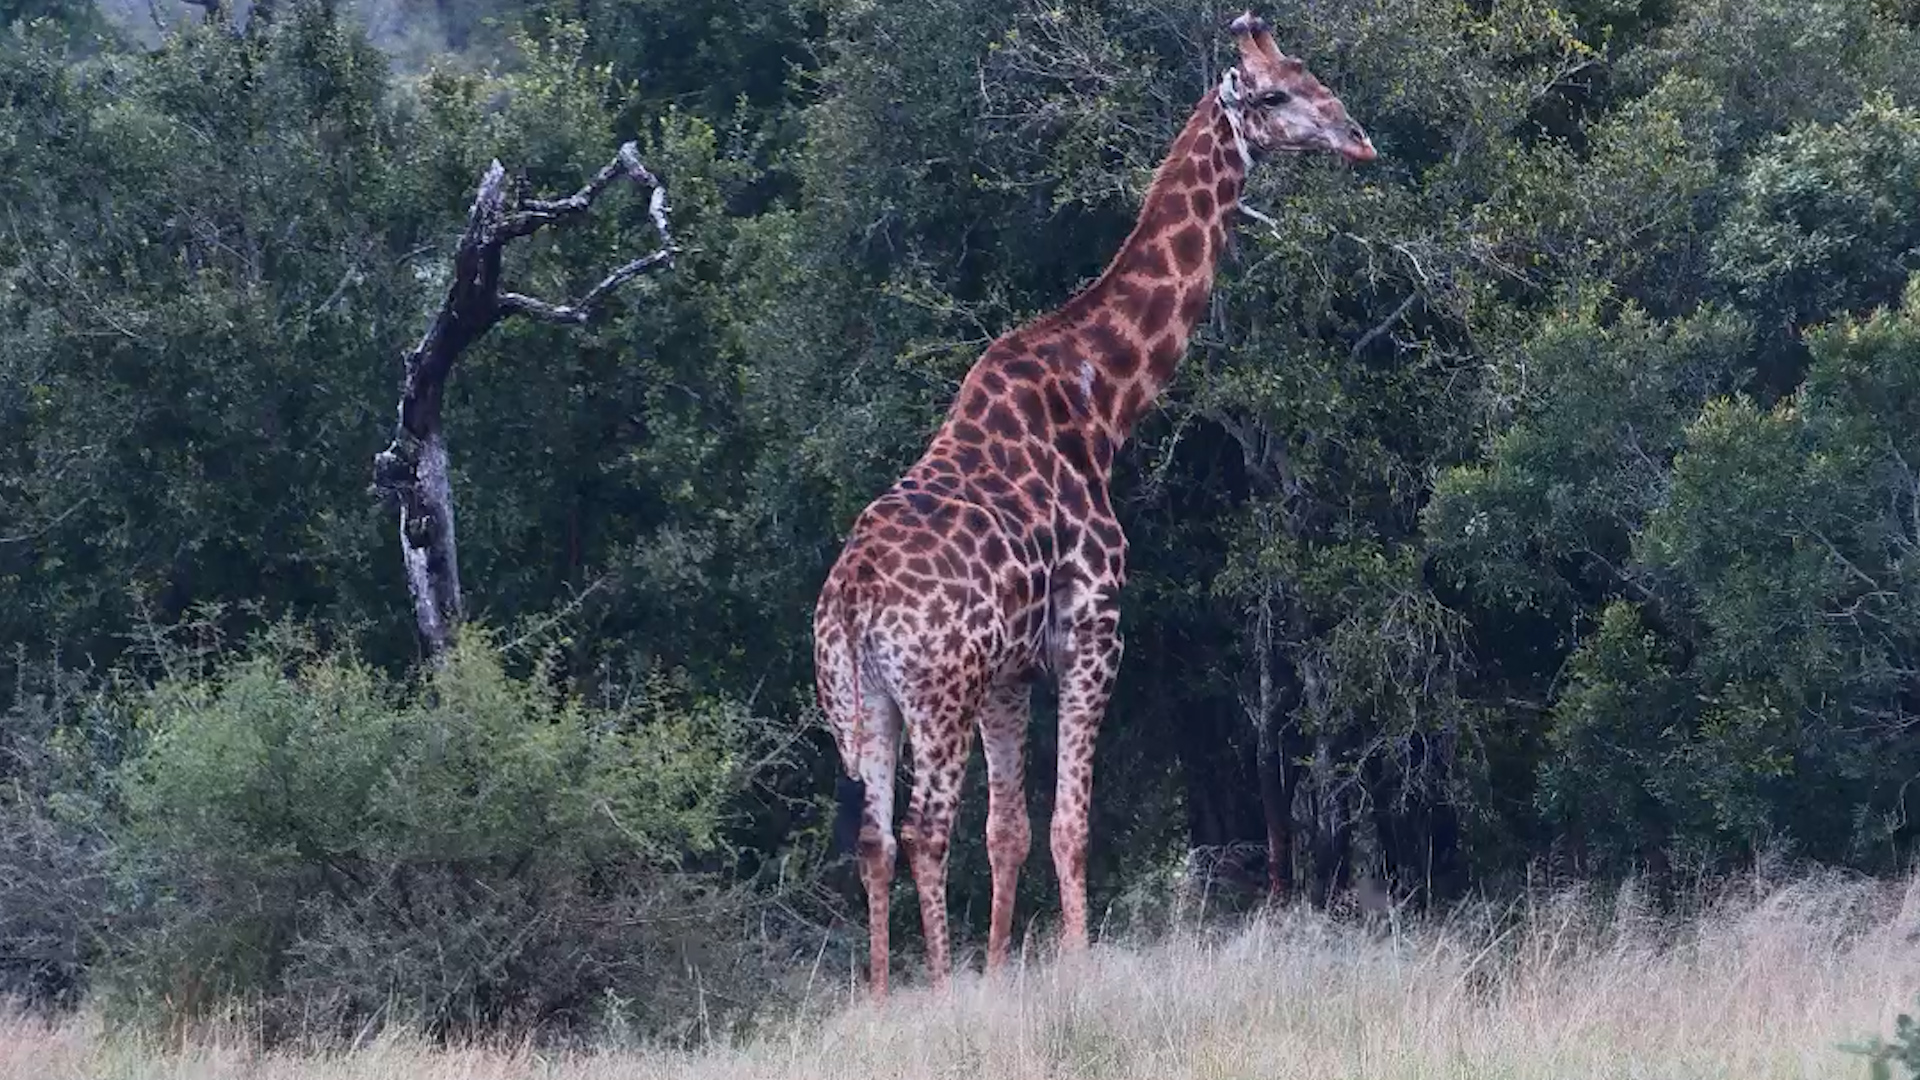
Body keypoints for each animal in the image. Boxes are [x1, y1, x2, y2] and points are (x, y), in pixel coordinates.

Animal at [814, 11, 1377, 998]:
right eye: (1274, 95)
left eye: (1315, 75)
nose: (1359, 140)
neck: (1102, 401)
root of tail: (848, 602)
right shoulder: (1092, 631)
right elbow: (1070, 826)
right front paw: (1067, 971)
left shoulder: (1007, 673)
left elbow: (1008, 831)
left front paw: (1001, 973)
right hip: (934, 690)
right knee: (924, 831)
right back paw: (936, 986)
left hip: (856, 700)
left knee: (878, 837)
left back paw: (883, 998)